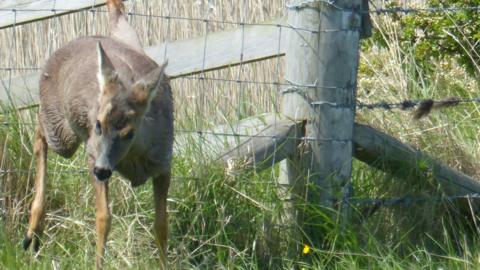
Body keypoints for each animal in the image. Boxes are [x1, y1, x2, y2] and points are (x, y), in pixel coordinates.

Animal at [22, 0, 174, 268]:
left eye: (130, 132)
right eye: (98, 124)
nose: (102, 170)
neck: (134, 159)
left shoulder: (164, 164)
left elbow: (161, 226)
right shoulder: (93, 153)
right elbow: (104, 218)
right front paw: (97, 264)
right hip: (63, 133)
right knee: (40, 131)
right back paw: (33, 232)